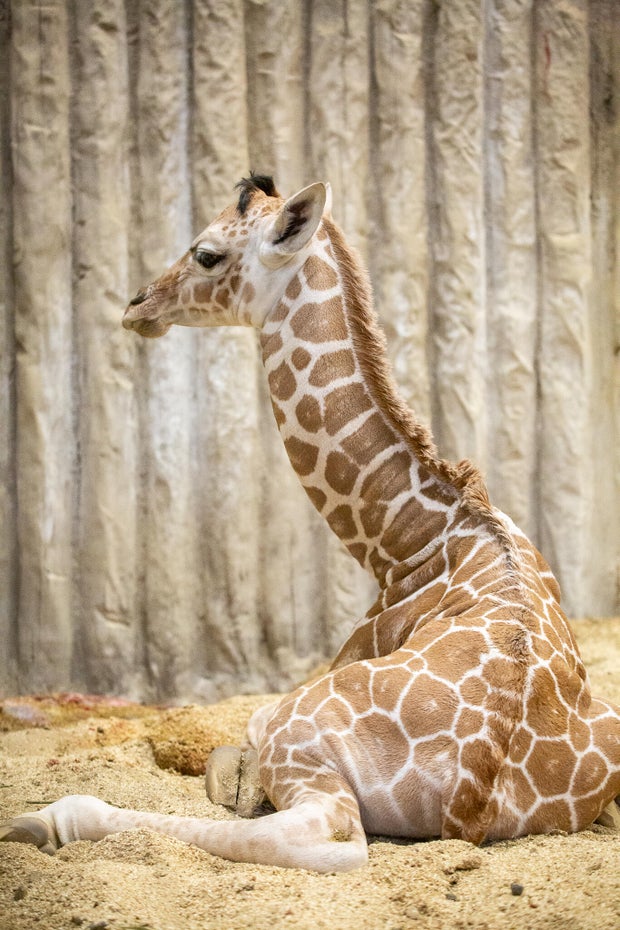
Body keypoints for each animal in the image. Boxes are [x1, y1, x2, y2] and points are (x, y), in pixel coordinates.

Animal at [2, 175, 619, 872]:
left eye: (206, 253)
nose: (138, 305)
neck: (410, 541)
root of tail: (476, 794)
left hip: (296, 733)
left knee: (322, 833)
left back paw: (49, 818)